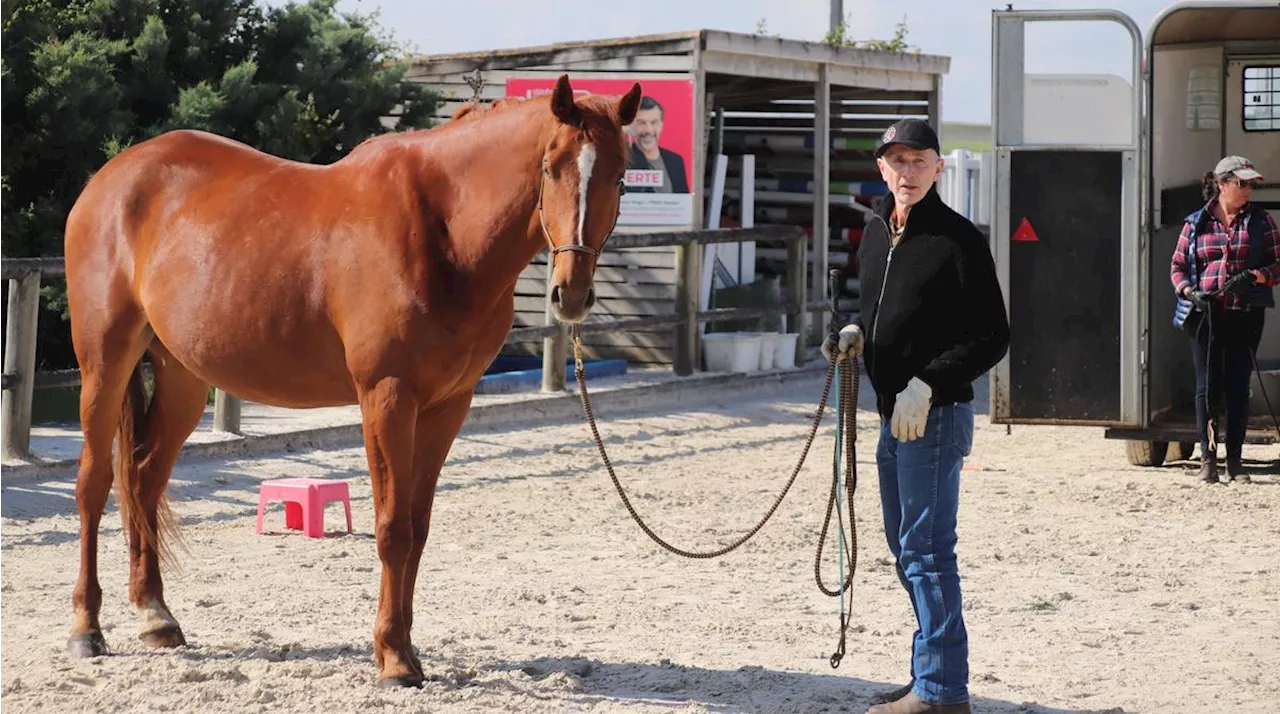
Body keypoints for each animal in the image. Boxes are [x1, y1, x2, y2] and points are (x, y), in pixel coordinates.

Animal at [60, 77, 640, 690]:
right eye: (550, 167)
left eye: (621, 174)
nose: (570, 294)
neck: (443, 232)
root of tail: (111, 177)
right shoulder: (386, 396)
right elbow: (392, 529)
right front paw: (393, 659)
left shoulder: (447, 406)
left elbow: (418, 527)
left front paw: (405, 648)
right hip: (105, 361)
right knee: (95, 483)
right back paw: (86, 629)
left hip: (184, 376)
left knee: (144, 478)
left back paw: (156, 617)